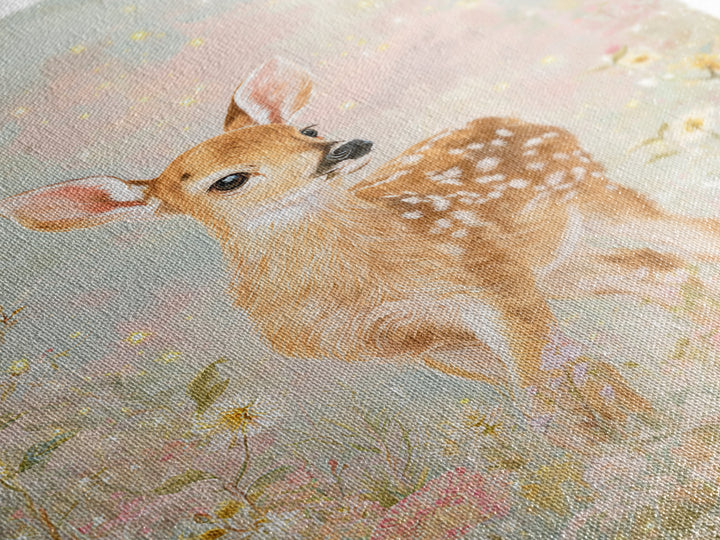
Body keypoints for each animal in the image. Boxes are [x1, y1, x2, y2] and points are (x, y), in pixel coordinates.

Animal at [2, 58, 719, 452]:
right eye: (228, 180)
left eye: (305, 127)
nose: (343, 148)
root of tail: (526, 118)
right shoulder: (413, 340)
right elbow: (547, 377)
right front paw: (617, 433)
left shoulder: (490, 279)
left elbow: (538, 378)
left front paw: (613, 443)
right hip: (564, 263)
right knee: (658, 271)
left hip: (591, 198)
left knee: (690, 236)